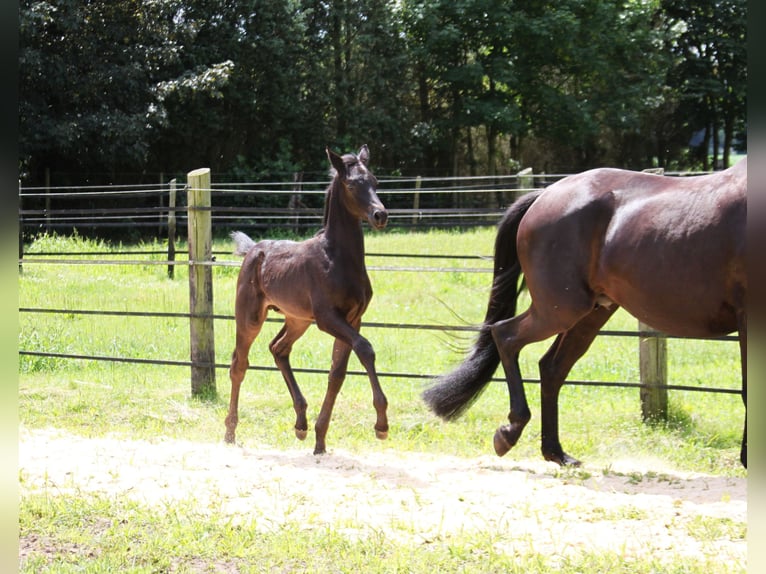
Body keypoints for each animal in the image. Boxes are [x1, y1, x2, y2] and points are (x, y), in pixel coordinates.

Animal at [222, 146, 390, 456]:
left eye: (375, 181)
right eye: (352, 185)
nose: (380, 215)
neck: (337, 258)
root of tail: (253, 250)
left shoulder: (353, 319)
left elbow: (338, 373)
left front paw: (320, 440)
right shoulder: (327, 318)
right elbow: (365, 348)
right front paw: (381, 425)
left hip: (297, 319)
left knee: (278, 349)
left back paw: (301, 423)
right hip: (250, 317)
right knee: (239, 363)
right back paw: (230, 431)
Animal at [424, 158, 748, 468]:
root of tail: (545, 195)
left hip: (590, 312)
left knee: (551, 368)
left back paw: (555, 453)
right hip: (561, 309)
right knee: (506, 335)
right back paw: (510, 432)